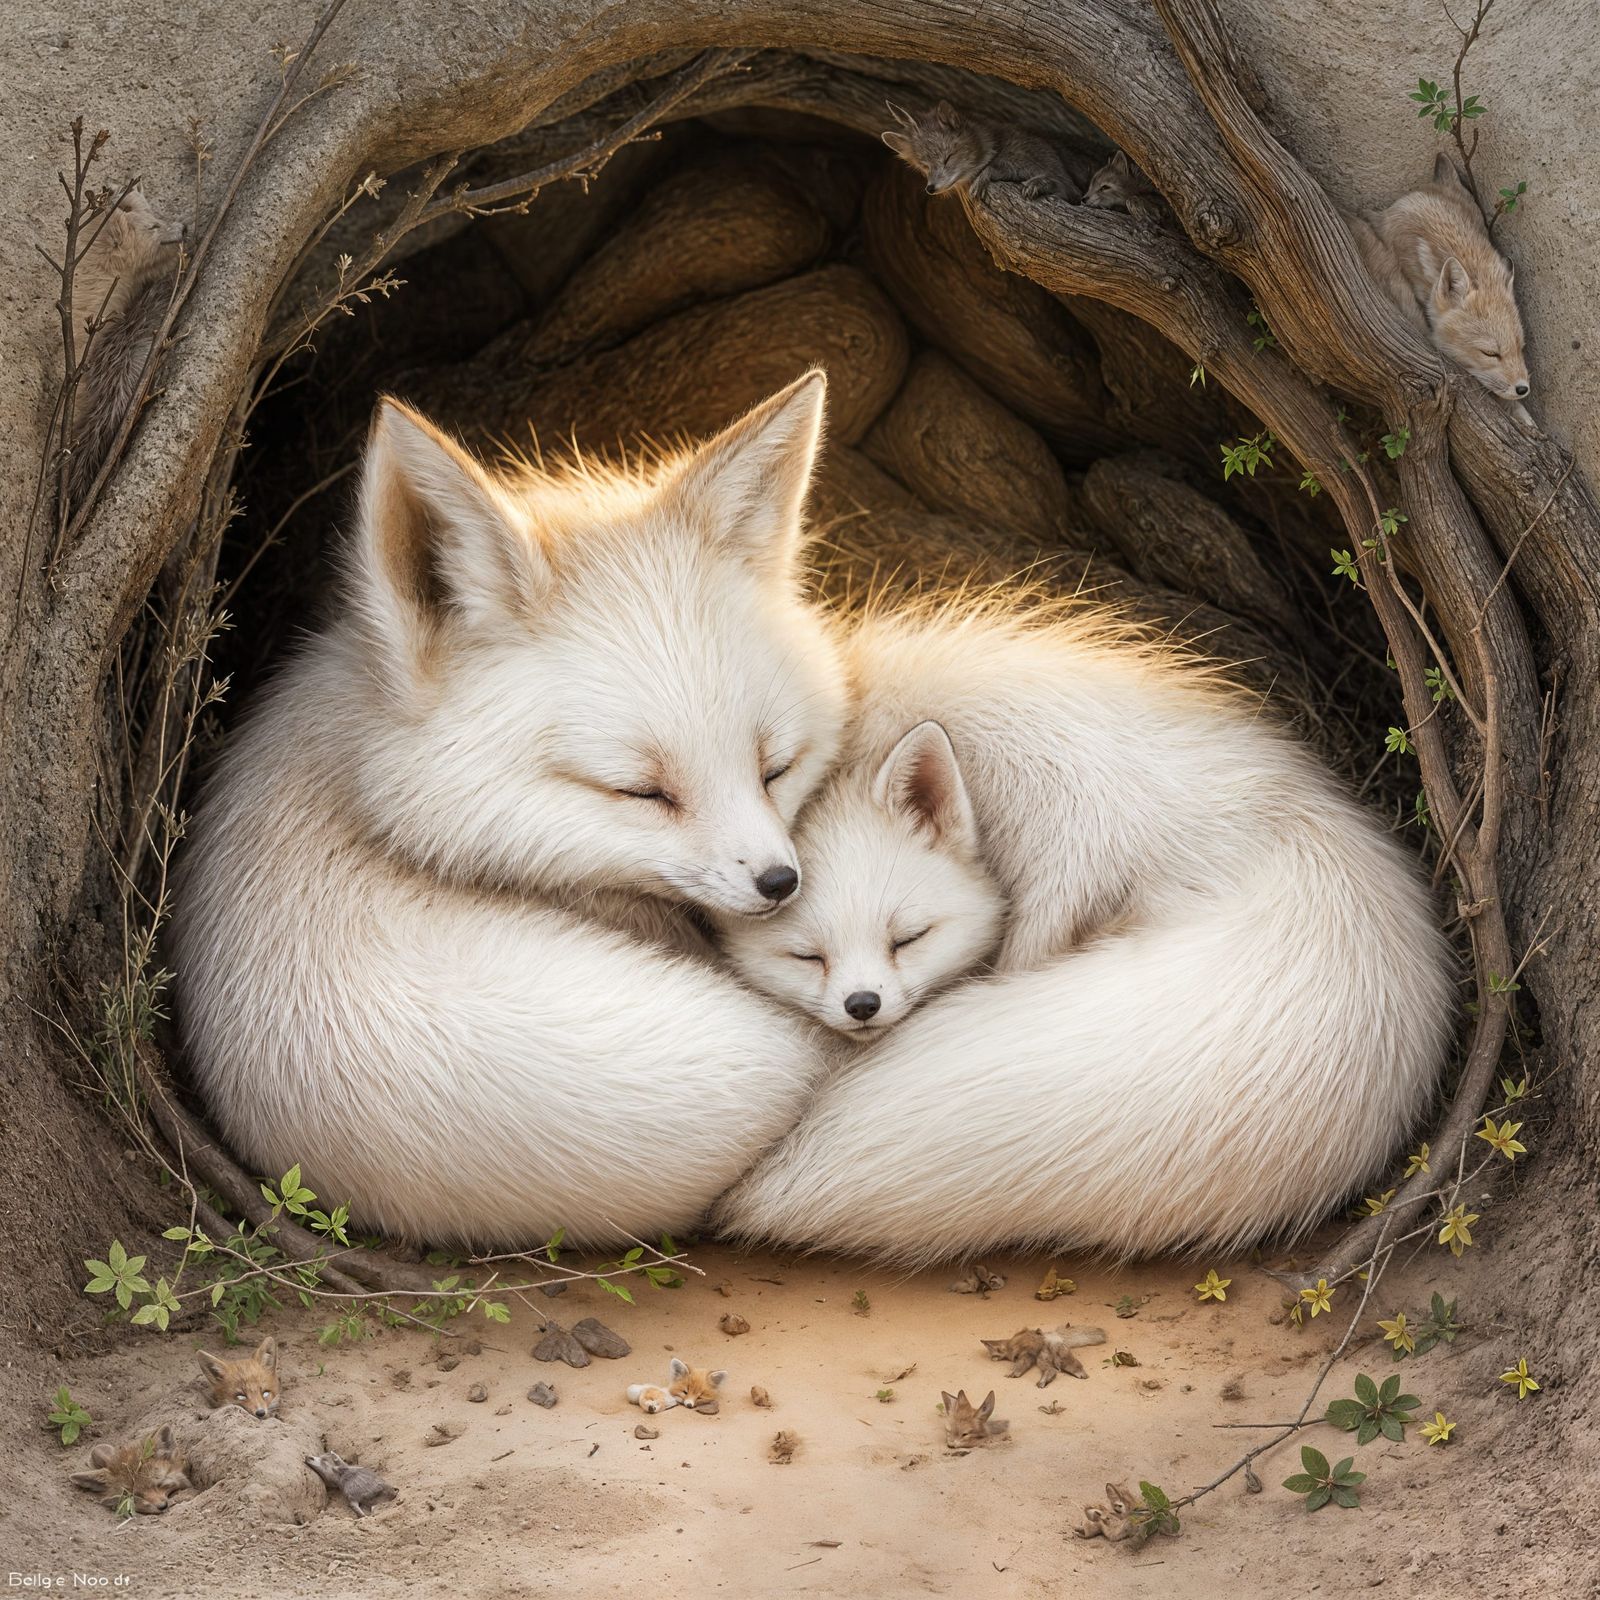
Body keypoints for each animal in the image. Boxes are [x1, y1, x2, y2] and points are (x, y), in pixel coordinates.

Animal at [881, 99, 1072, 202]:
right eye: (924, 166)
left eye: (948, 158)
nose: (931, 188)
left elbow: (1054, 181)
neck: (998, 146)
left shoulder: (1064, 183)